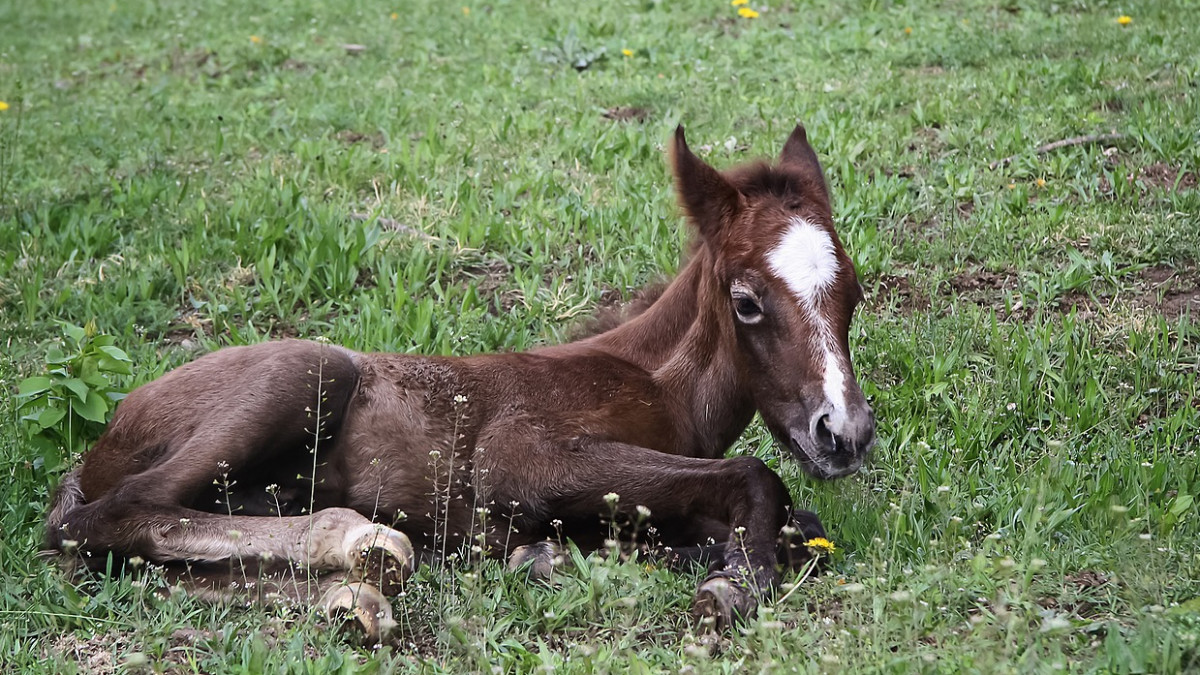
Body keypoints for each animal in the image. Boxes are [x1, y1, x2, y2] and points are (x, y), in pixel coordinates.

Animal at [46, 123, 873, 634]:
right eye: (747, 301)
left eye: (855, 293)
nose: (844, 432)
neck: (655, 381)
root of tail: (103, 439)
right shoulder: (518, 455)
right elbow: (757, 477)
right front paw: (732, 581)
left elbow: (802, 527)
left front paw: (562, 553)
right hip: (306, 369)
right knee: (111, 518)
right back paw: (359, 543)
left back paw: (356, 593)